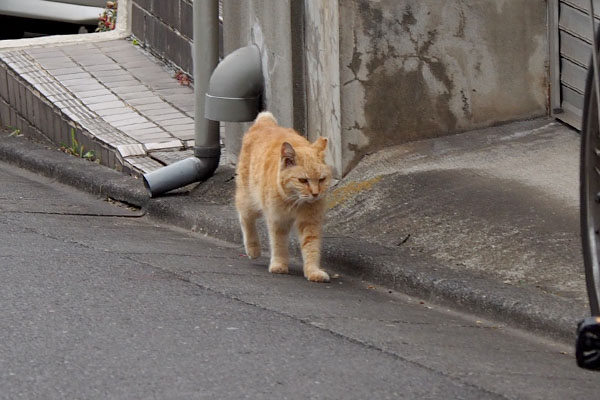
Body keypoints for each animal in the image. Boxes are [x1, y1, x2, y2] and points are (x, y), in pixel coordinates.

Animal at [234, 111, 332, 282]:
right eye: (303, 180)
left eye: (321, 180)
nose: (315, 193)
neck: (296, 201)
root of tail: (265, 124)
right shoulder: (277, 219)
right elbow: (278, 244)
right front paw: (279, 265)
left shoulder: (310, 222)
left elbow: (311, 247)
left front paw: (313, 271)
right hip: (249, 201)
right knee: (244, 217)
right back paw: (253, 248)